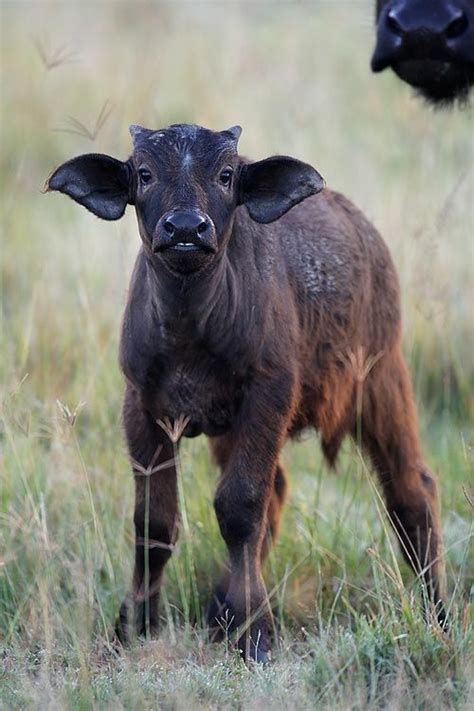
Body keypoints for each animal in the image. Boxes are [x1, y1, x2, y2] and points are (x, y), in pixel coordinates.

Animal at [47, 122, 444, 660]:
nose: (186, 229)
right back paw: (220, 611)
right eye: (144, 173)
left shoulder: (268, 397)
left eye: (226, 175)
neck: (190, 326)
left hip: (382, 379)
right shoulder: (142, 408)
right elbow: (154, 522)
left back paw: (438, 615)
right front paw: (134, 624)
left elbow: (239, 507)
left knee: (411, 491)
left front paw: (255, 631)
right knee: (279, 493)